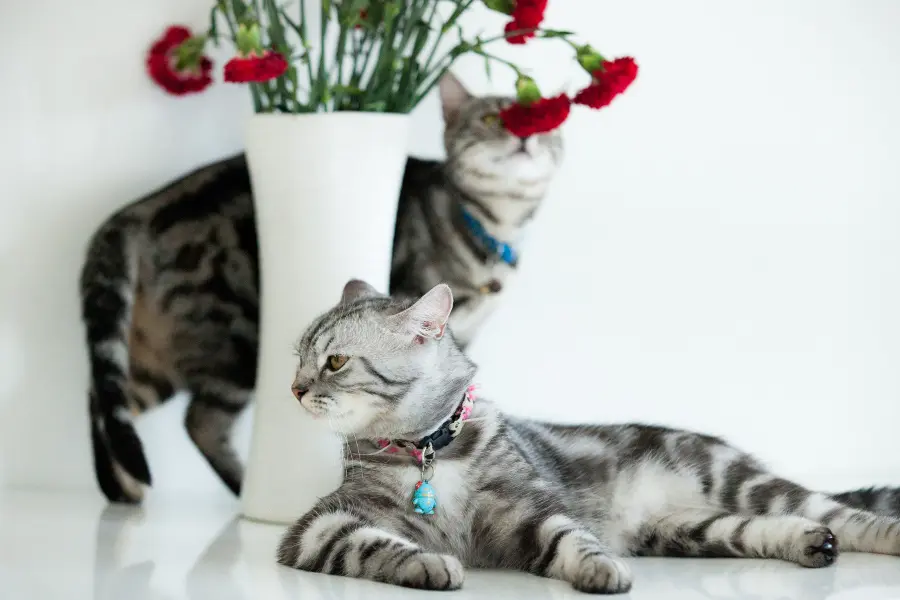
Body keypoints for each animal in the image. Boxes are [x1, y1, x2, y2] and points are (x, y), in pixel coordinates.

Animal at [79, 71, 564, 502]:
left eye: (540, 122)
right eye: (491, 119)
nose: (524, 138)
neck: (495, 228)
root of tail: (135, 212)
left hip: (152, 355)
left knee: (106, 400)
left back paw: (121, 491)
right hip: (233, 344)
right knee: (197, 422)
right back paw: (231, 489)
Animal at [278, 278, 900, 592]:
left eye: (334, 361)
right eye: (298, 358)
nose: (295, 388)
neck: (430, 453)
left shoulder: (530, 508)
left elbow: (570, 538)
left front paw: (601, 570)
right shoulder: (319, 526)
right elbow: (370, 543)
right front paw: (431, 565)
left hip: (737, 481)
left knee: (843, 513)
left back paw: (878, 535)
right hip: (688, 530)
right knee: (765, 527)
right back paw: (810, 544)